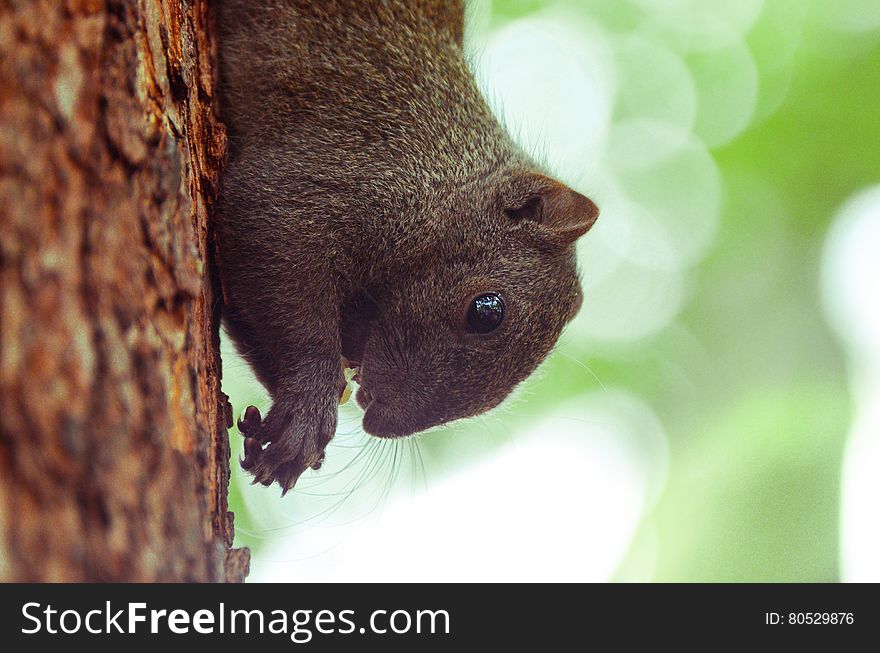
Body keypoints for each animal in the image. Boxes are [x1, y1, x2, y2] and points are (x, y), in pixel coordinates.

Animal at [215, 0, 600, 492]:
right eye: (486, 312)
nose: (380, 420)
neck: (444, 174)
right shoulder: (333, 175)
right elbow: (270, 239)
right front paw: (307, 409)